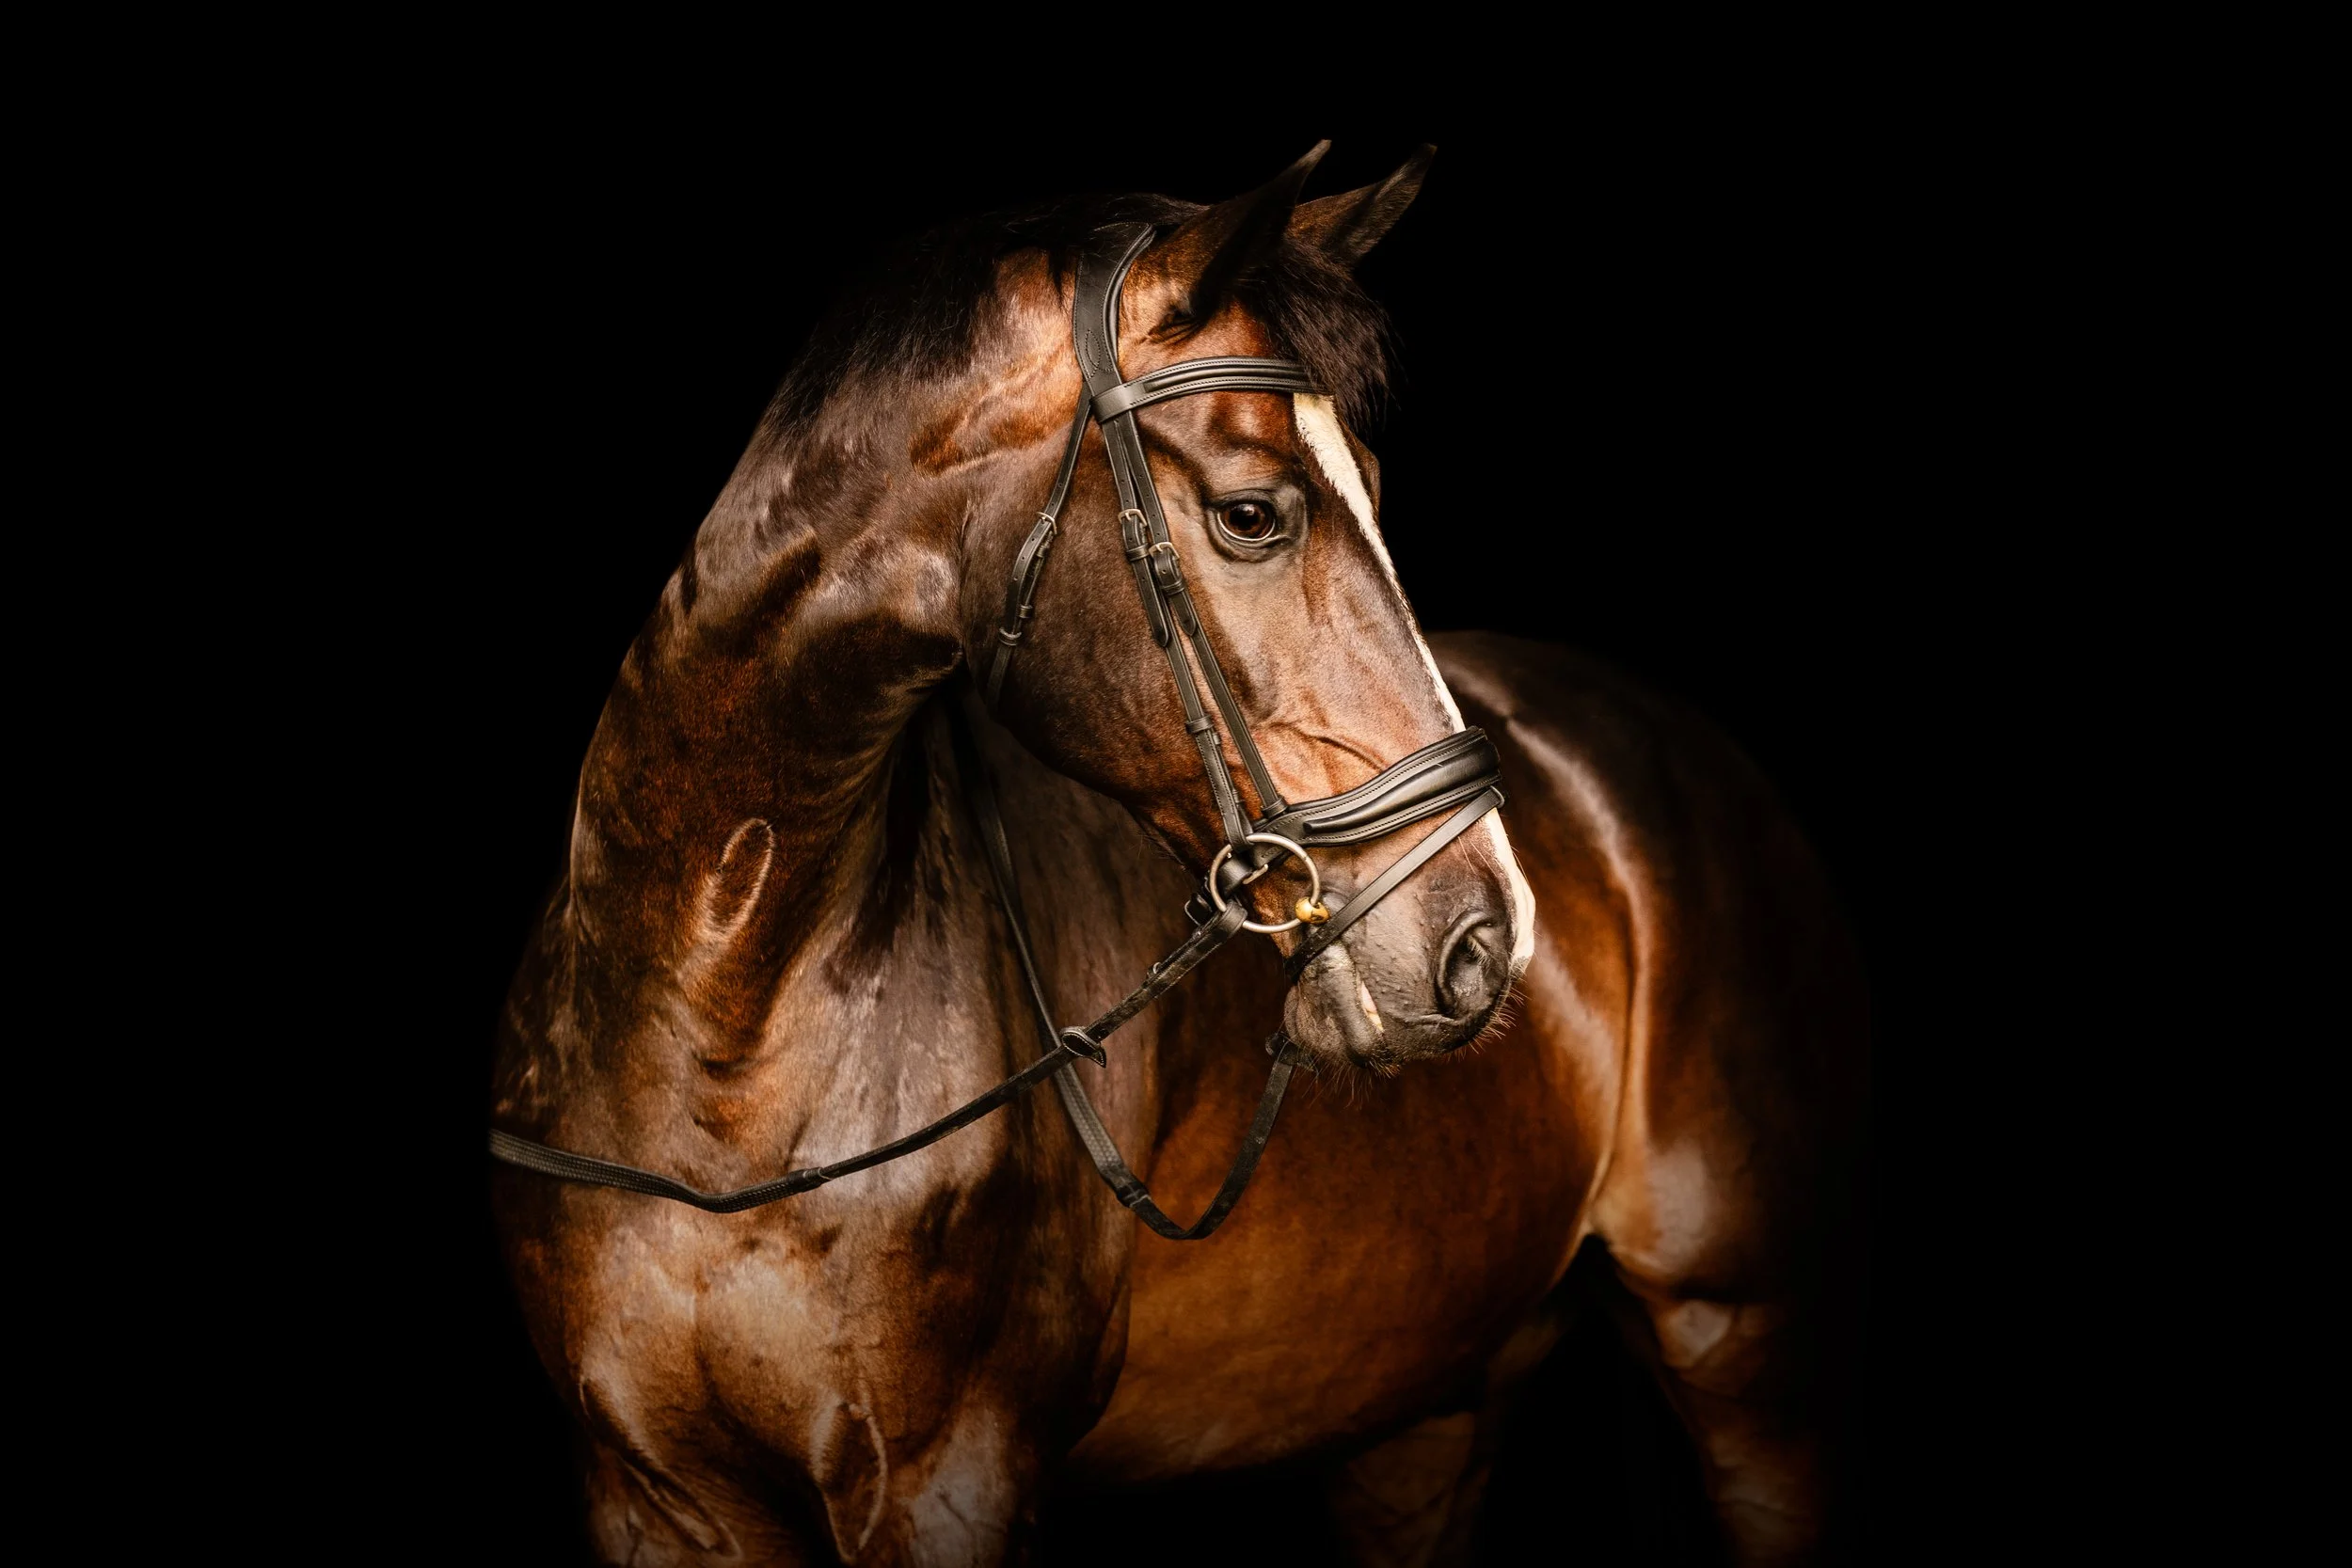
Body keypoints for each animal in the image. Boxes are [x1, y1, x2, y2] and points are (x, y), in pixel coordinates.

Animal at [489, 143, 1869, 1566]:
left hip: (1745, 1339)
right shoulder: (656, 1496)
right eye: (1254, 513)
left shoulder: (946, 1485)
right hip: (1421, 1418)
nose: (1488, 942)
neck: (726, 1025)